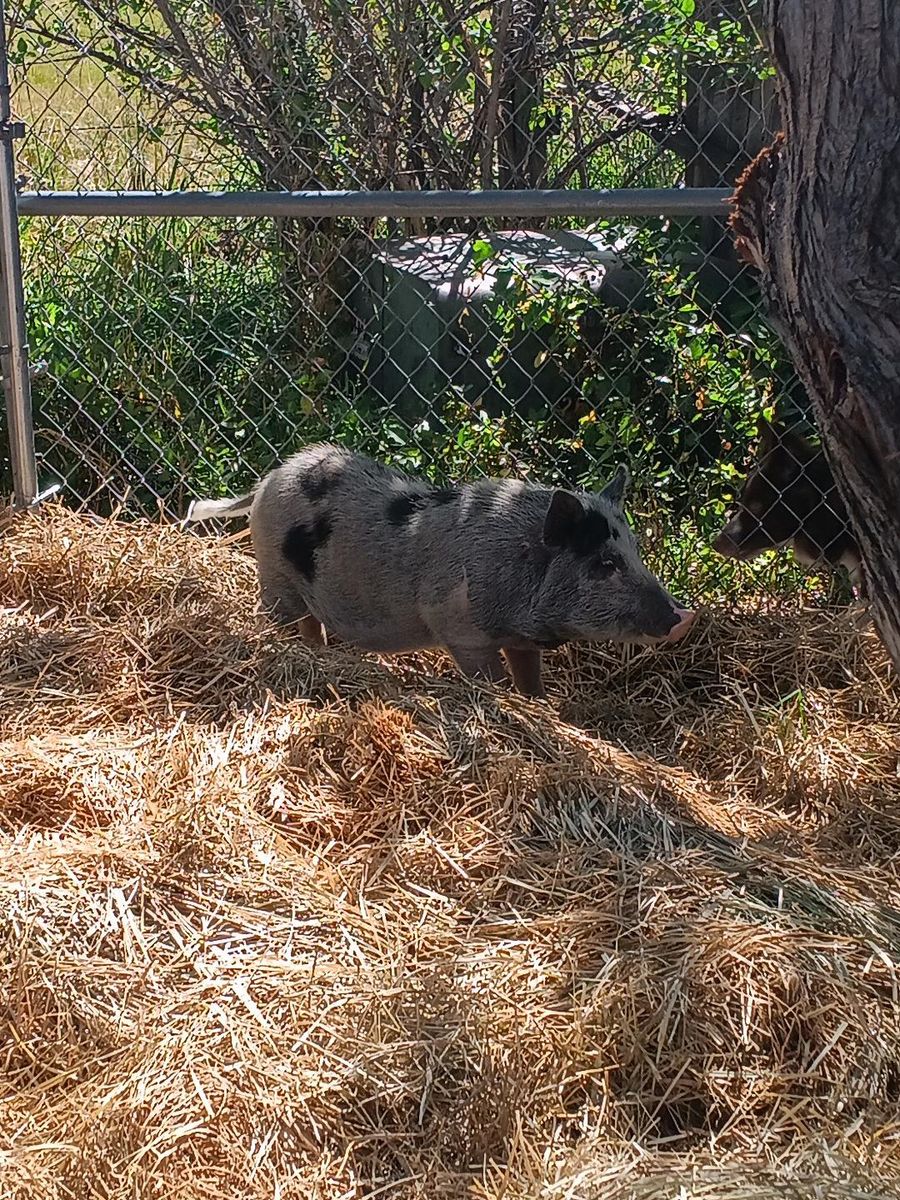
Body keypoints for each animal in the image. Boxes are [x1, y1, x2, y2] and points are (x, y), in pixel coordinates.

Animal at [186, 444, 695, 698]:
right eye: (605, 564)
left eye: (636, 551)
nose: (683, 616)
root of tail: (267, 480)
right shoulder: (463, 631)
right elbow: (490, 680)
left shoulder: (521, 641)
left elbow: (531, 683)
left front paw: (539, 705)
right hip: (276, 576)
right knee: (277, 617)